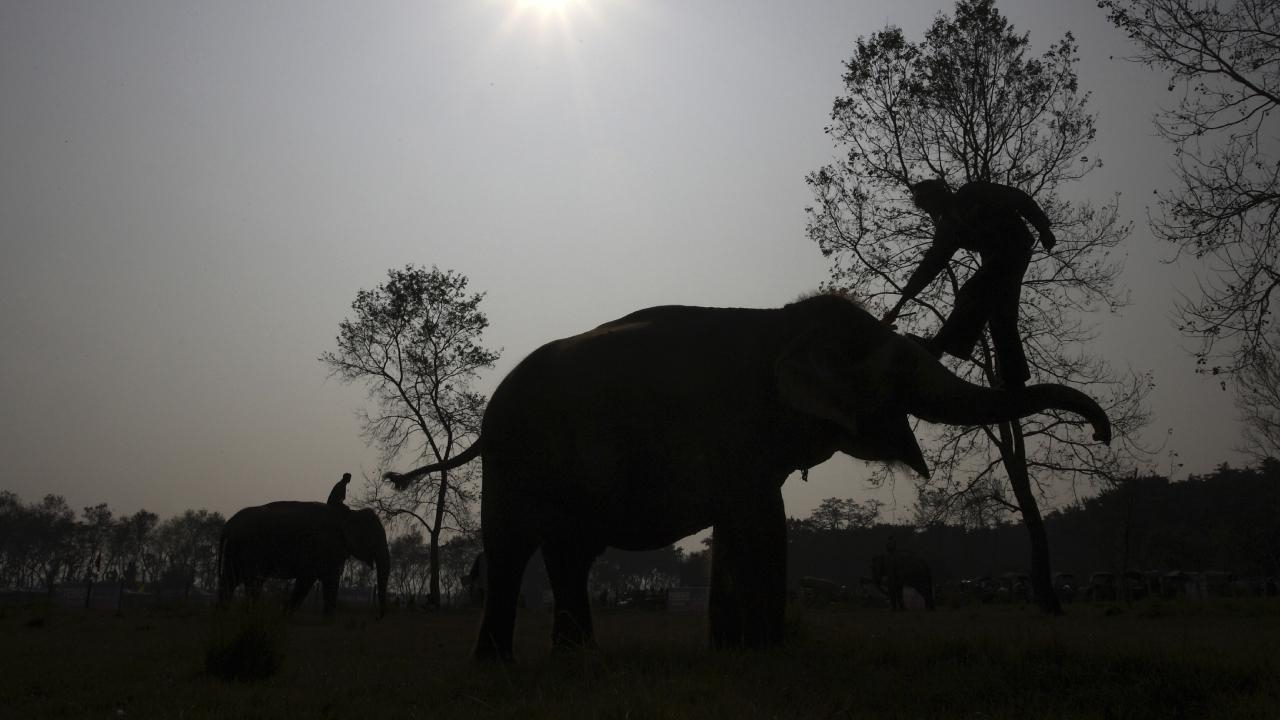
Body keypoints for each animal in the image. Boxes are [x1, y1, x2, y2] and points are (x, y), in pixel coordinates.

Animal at [217, 499, 386, 609]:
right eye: (375, 537)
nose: (379, 617)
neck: (351, 514)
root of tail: (228, 525)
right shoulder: (323, 546)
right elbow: (311, 578)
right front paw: (285, 614)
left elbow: (330, 581)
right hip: (247, 548)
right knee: (251, 581)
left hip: (236, 550)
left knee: (231, 579)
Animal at [381, 292, 1111, 655]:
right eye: (897, 368)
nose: (1101, 433)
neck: (781, 326)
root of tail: (485, 422)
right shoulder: (734, 430)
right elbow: (759, 522)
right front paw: (760, 654)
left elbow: (745, 523)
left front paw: (736, 653)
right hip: (516, 461)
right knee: (511, 550)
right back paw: (498, 663)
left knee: (569, 556)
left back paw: (576, 658)